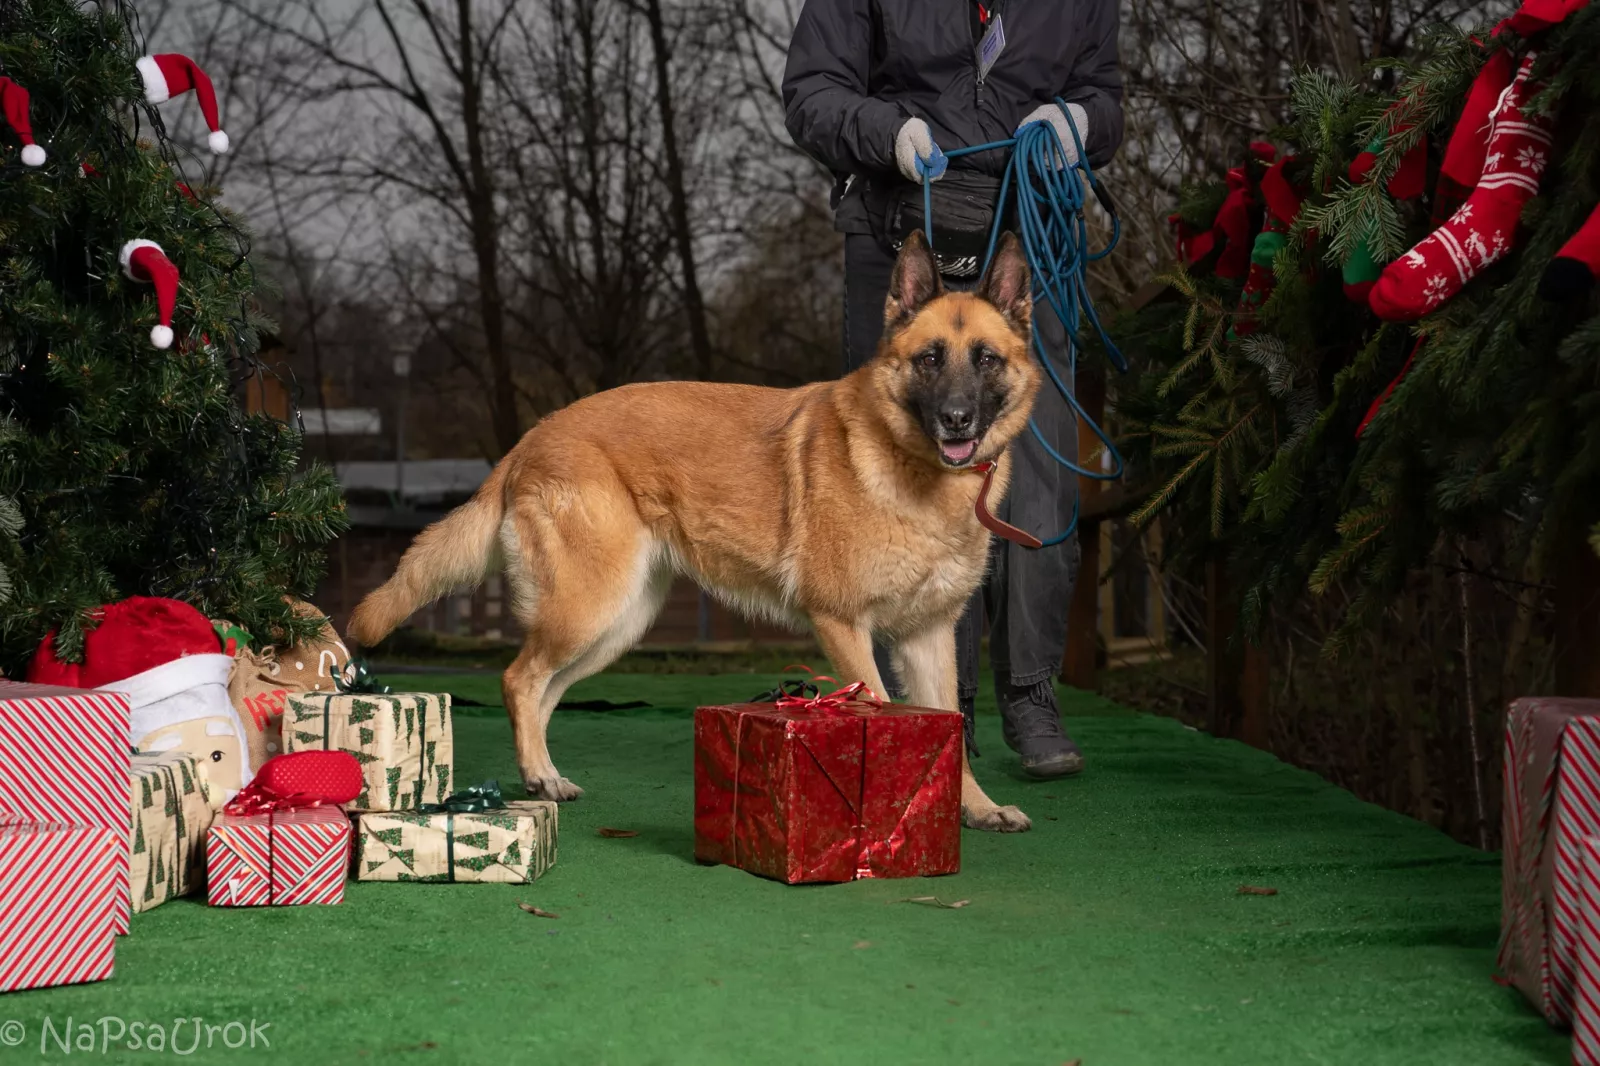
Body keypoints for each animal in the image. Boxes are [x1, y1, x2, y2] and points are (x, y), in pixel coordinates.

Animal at [348, 230, 1044, 832]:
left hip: (613, 626)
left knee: (541, 693)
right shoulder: (844, 624)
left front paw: (975, 808)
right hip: (587, 611)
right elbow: (878, 710)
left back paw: (542, 777)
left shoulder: (928, 638)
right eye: (929, 360)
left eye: (986, 359)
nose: (957, 420)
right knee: (519, 680)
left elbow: (949, 726)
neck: (915, 473)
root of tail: (531, 439)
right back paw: (539, 776)